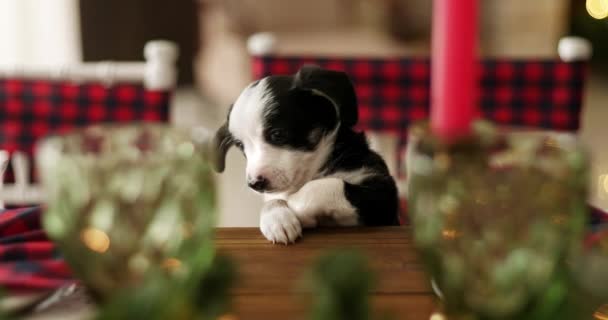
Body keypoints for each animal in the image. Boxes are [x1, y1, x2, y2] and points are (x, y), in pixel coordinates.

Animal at [213, 66, 400, 244]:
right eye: (240, 145)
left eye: (277, 134)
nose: (255, 184)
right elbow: (273, 201)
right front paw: (276, 218)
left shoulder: (383, 196)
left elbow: (329, 184)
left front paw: (294, 207)